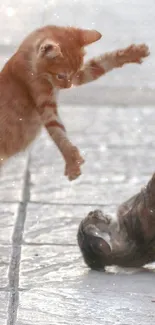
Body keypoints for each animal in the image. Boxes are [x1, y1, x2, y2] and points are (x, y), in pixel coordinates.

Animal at [0, 25, 150, 180]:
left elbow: (100, 64)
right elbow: (57, 130)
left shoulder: (81, 75)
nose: (68, 86)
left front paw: (130, 54)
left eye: (74, 73)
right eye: (60, 76)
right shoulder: (44, 102)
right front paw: (71, 159)